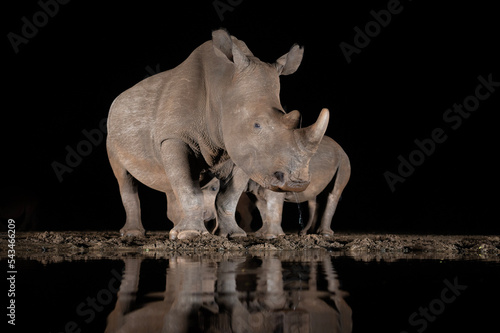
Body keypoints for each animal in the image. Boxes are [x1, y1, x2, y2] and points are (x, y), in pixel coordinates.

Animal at [107, 29, 330, 239]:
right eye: (257, 125)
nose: (297, 183)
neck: (223, 87)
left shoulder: (244, 149)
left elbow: (228, 196)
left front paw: (232, 234)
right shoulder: (175, 137)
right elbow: (189, 189)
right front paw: (190, 235)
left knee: (171, 180)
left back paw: (173, 228)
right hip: (113, 128)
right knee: (124, 177)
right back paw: (134, 233)